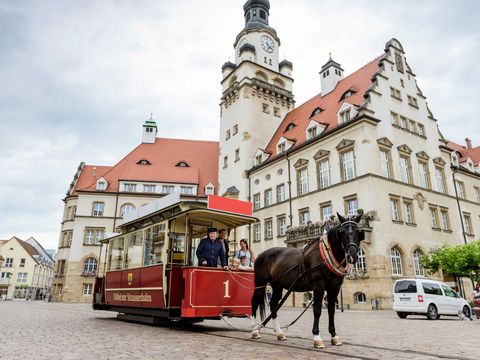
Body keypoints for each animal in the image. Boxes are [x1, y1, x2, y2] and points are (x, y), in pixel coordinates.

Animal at [251, 214, 364, 348]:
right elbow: (317, 309)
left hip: (277, 285)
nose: (352, 256)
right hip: (260, 284)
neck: (326, 256)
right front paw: (317, 337)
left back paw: (279, 333)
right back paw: (254, 330)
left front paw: (334, 336)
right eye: (342, 232)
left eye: (359, 232)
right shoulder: (318, 286)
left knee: (274, 305)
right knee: (254, 301)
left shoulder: (334, 288)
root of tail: (260, 255)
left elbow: (331, 310)